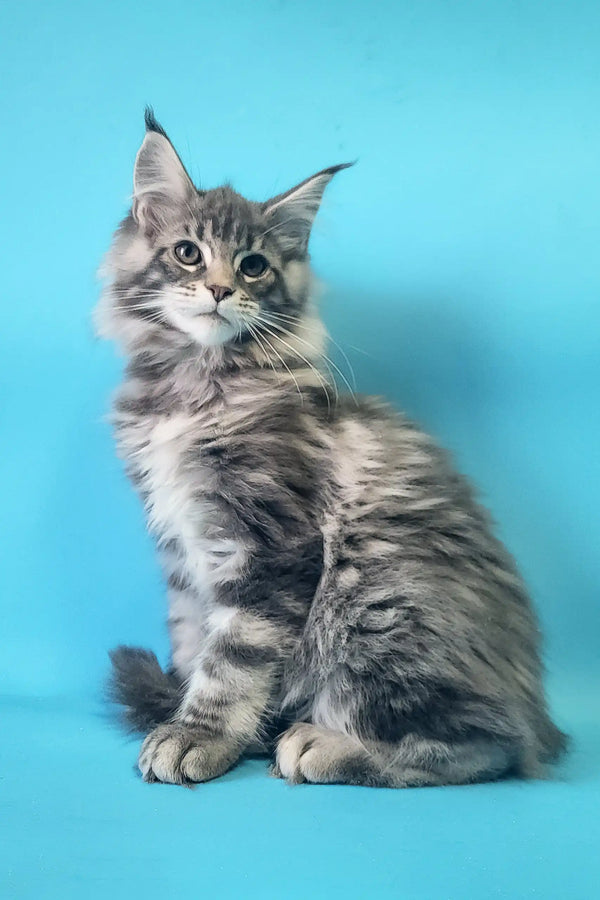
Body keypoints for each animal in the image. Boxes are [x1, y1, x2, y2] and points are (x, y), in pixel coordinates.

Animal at [96, 107, 564, 788]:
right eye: (188, 254)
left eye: (253, 266)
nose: (218, 290)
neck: (196, 385)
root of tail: (541, 716)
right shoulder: (184, 553)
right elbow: (193, 641)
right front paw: (189, 712)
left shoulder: (271, 543)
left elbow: (232, 658)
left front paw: (199, 734)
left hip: (373, 596)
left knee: (490, 744)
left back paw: (327, 746)